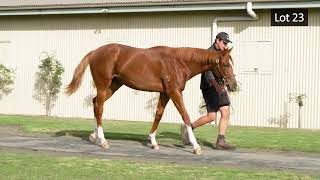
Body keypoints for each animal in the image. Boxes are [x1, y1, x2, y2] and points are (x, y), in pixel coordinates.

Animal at [66, 43, 238, 155]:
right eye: (225, 64)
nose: (233, 85)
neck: (179, 62)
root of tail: (94, 52)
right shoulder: (175, 93)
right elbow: (186, 116)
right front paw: (196, 147)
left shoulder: (165, 94)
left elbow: (158, 115)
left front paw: (153, 142)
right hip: (103, 86)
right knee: (100, 108)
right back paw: (102, 140)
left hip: (114, 86)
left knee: (96, 103)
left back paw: (94, 136)